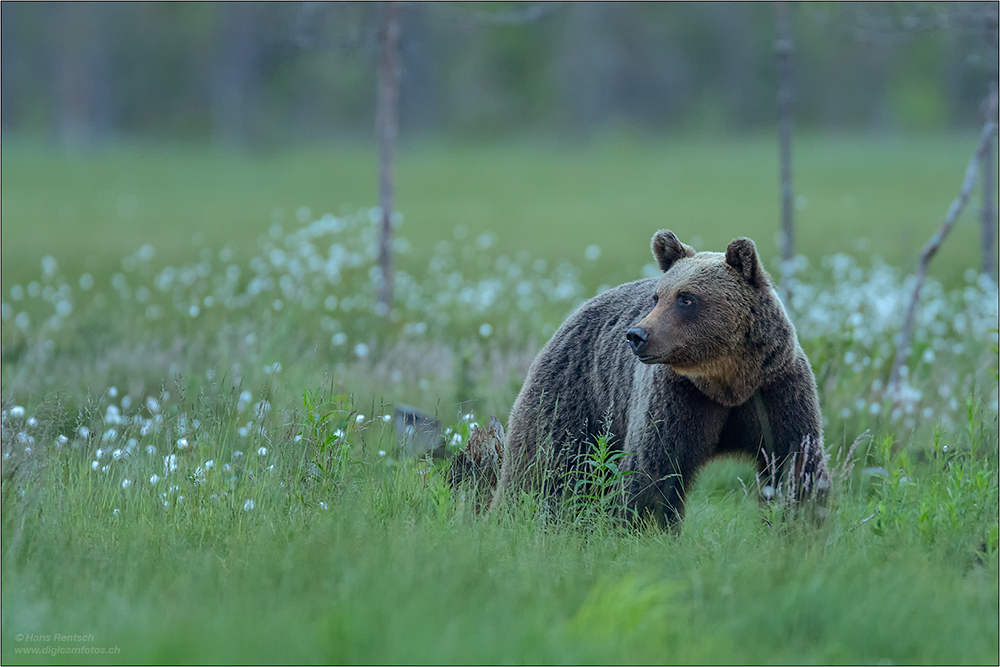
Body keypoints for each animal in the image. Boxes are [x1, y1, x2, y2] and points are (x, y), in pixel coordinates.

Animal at [490, 230, 828, 528]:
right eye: (657, 297)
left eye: (686, 298)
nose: (637, 335)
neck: (727, 382)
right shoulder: (678, 396)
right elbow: (653, 471)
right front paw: (645, 528)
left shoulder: (776, 389)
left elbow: (796, 464)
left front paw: (799, 525)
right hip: (576, 394)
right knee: (546, 464)